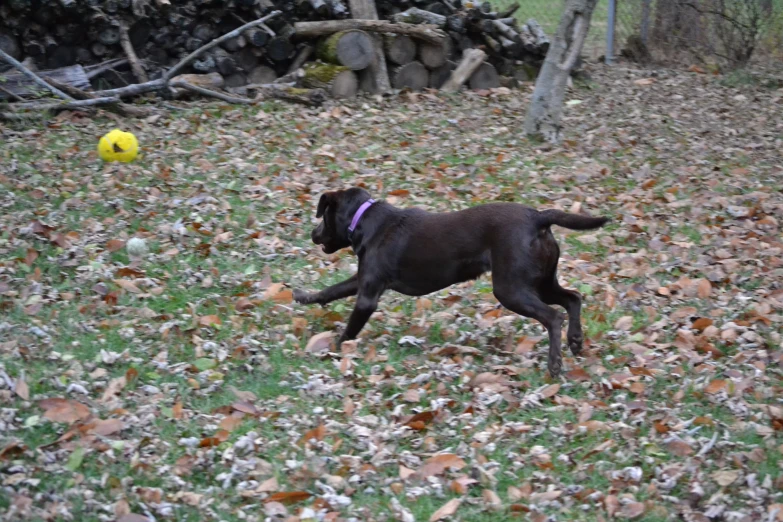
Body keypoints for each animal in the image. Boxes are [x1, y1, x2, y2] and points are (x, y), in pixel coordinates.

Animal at [296, 187, 612, 374]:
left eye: (323, 215)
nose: (312, 233)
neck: (363, 220)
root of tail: (539, 218)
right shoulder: (363, 281)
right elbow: (332, 290)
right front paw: (304, 296)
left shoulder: (367, 297)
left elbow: (349, 330)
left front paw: (333, 351)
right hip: (541, 282)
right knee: (573, 298)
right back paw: (576, 341)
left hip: (510, 288)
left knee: (554, 316)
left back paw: (555, 363)